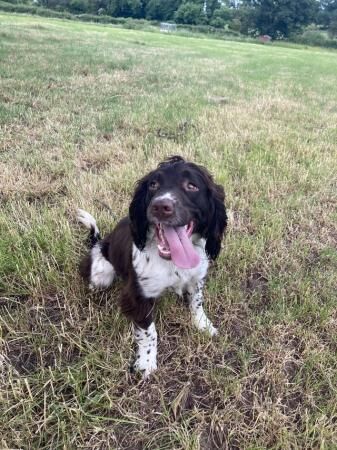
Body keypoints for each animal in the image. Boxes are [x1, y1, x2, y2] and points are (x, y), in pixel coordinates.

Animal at [78, 155, 226, 376]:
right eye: (153, 185)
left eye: (191, 186)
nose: (161, 206)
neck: (171, 261)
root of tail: (100, 242)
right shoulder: (138, 295)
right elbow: (149, 332)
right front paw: (146, 362)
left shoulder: (196, 278)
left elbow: (197, 302)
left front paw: (204, 325)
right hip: (101, 273)